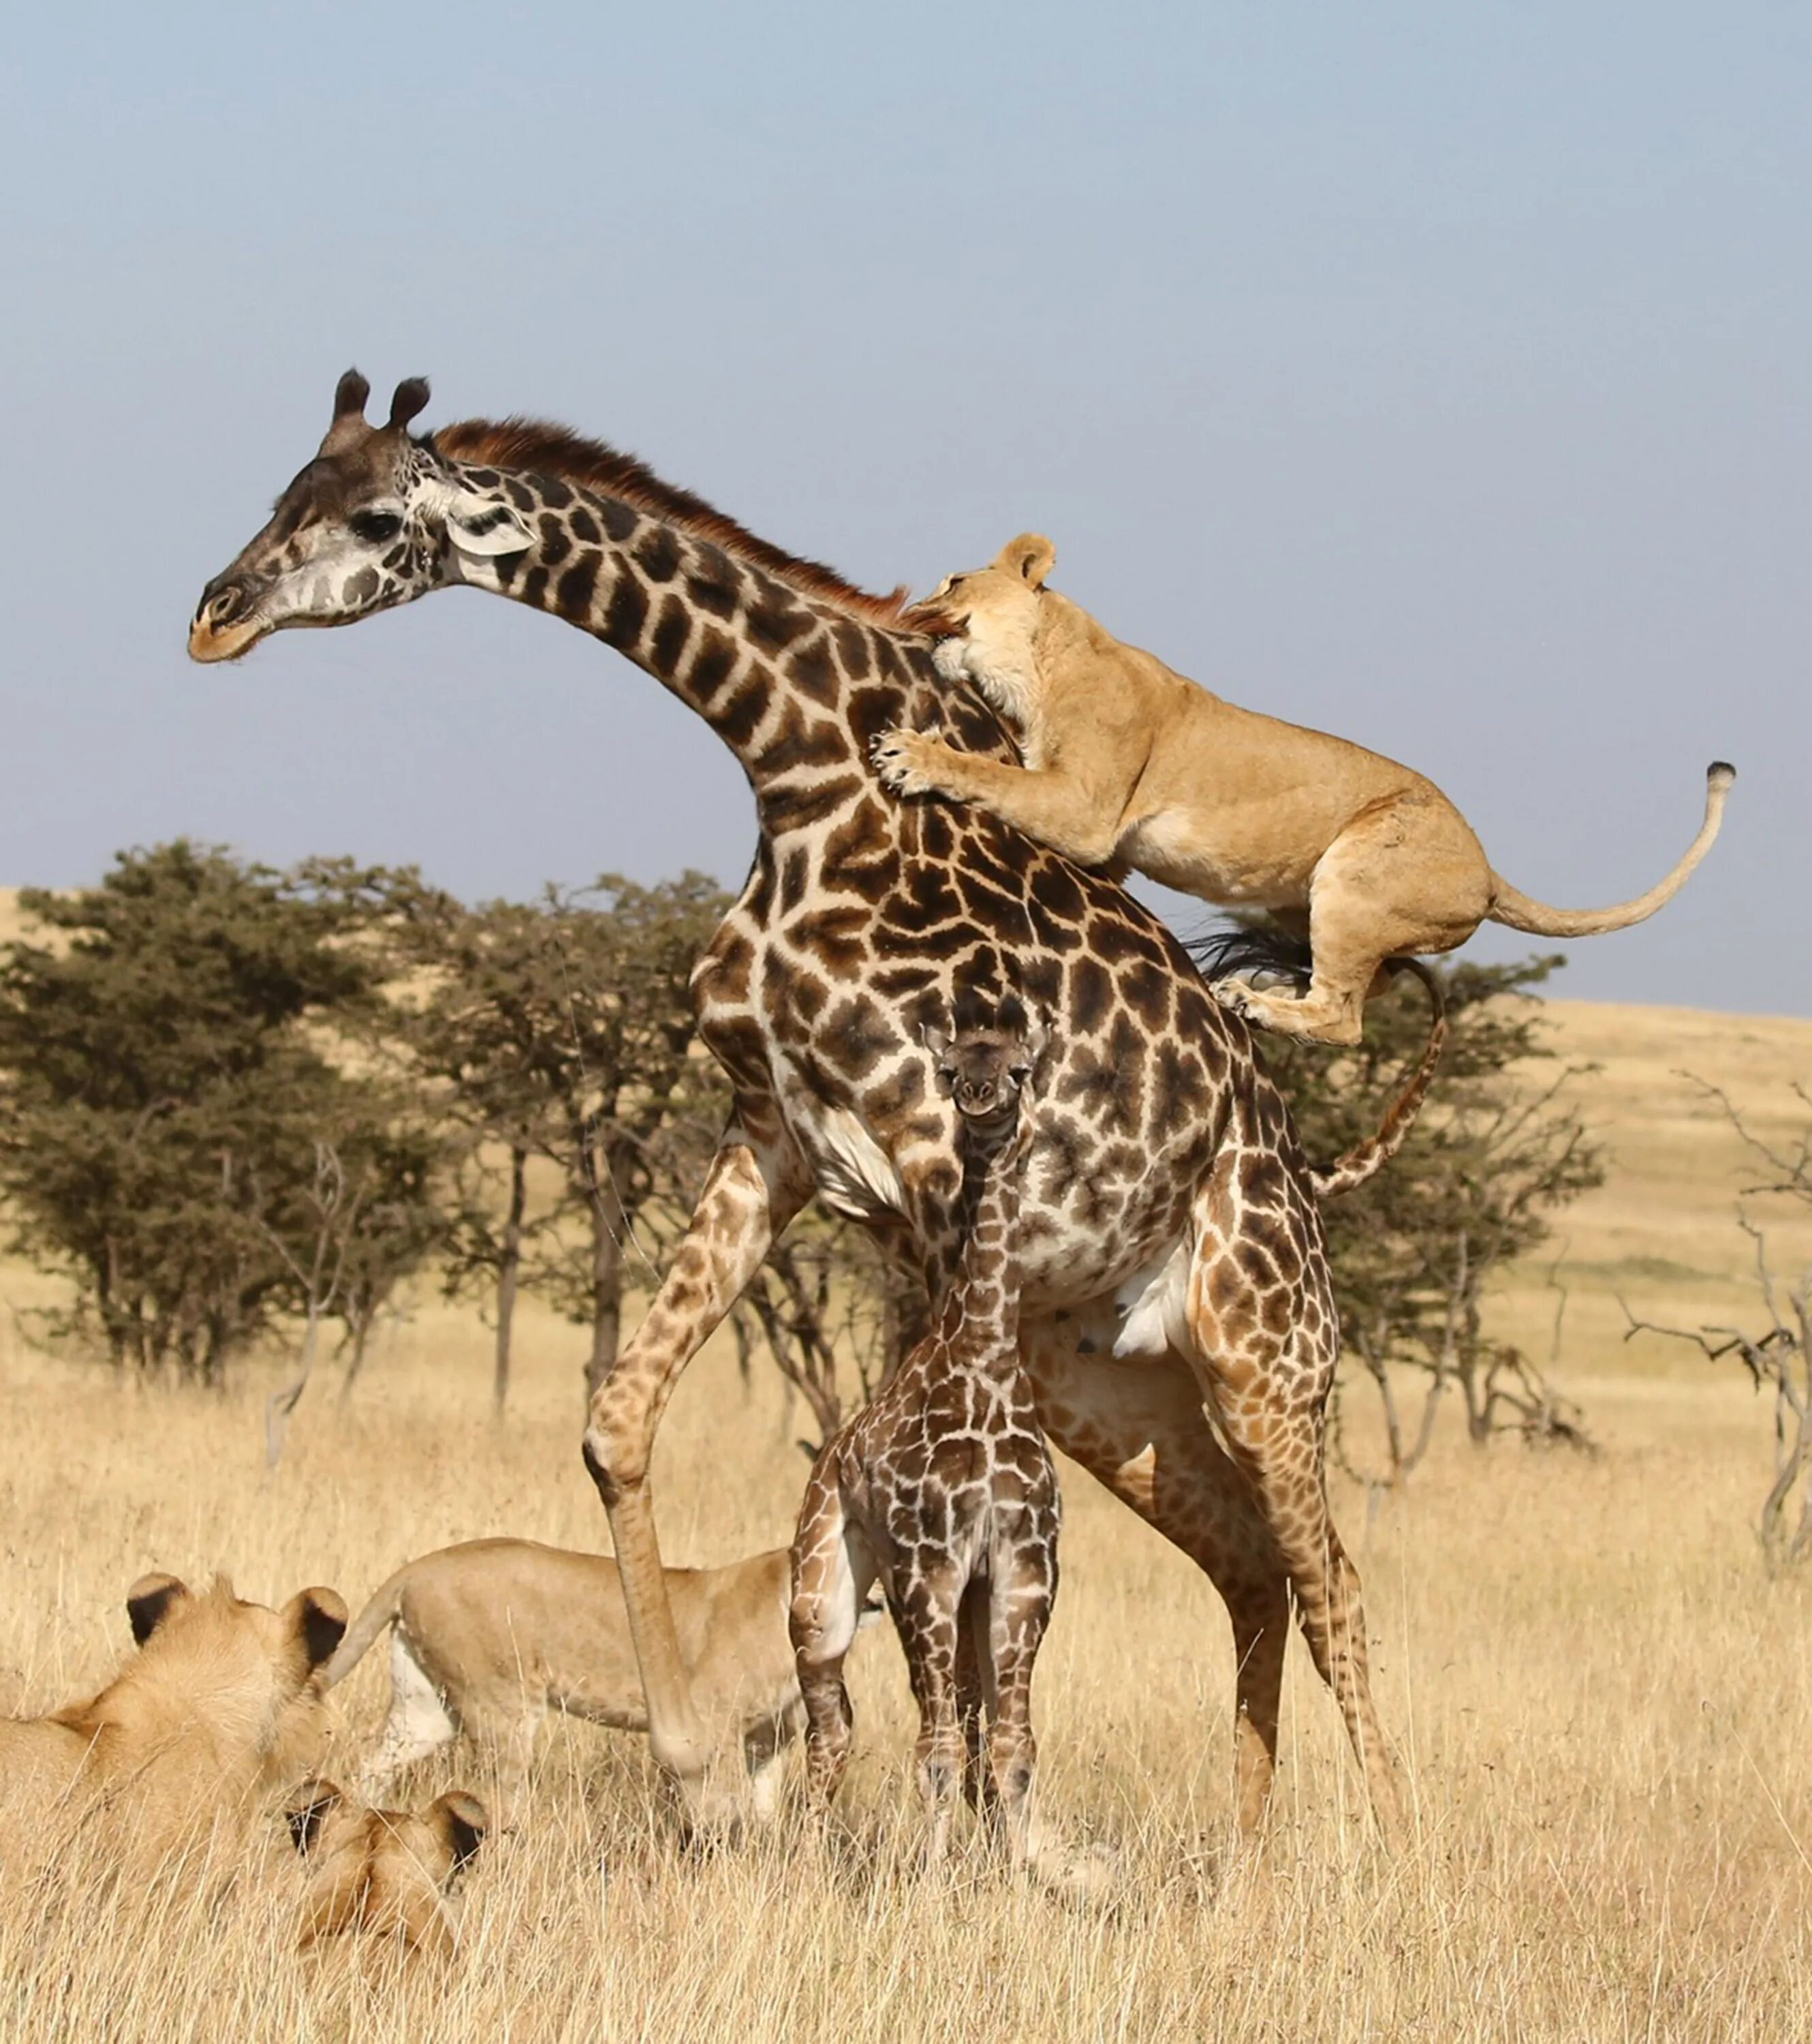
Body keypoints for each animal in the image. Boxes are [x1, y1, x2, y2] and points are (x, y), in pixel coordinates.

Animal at [792, 997, 1062, 1872]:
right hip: (822, 1600)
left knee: (962, 1726)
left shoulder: (1022, 1567)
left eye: (1018, 1068)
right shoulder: (925, 1566)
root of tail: (829, 1457)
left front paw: (1012, 1878)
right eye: (948, 1072)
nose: (979, 1098)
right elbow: (934, 1751)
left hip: (969, 1604)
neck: (982, 1362)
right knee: (832, 1728)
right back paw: (807, 1862)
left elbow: (1013, 1749)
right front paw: (933, 1880)